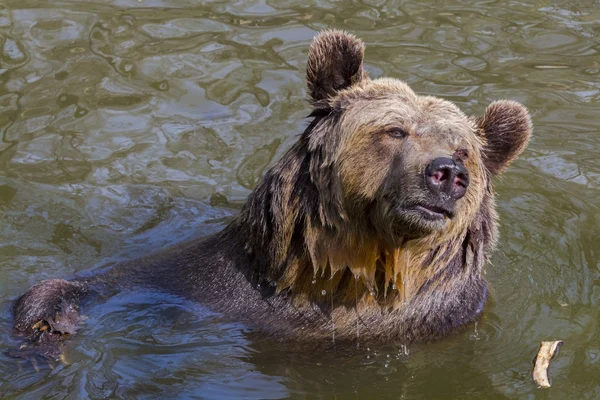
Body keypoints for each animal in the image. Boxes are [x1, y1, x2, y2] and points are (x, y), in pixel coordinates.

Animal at [12, 30, 528, 350]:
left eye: (463, 151)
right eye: (396, 130)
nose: (447, 173)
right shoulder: (213, 286)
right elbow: (119, 279)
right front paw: (46, 321)